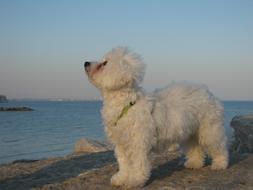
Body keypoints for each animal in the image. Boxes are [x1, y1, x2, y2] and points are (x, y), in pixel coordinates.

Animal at [84, 47, 228, 189]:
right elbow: (124, 163)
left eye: (104, 63)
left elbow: (138, 164)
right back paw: (194, 163)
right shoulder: (121, 143)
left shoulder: (138, 143)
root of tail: (208, 93)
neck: (126, 104)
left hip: (209, 130)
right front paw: (121, 178)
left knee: (219, 147)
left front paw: (134, 181)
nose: (86, 63)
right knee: (195, 148)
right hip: (190, 133)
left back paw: (220, 164)